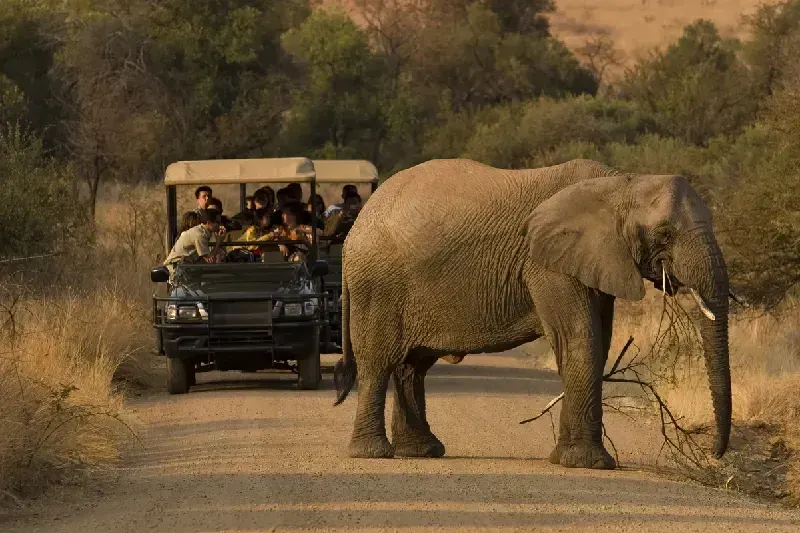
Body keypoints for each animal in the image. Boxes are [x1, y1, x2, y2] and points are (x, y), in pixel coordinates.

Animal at [332, 158, 731, 470]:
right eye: (664, 234)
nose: (714, 455)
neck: (620, 182)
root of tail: (356, 227)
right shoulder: (546, 264)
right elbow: (579, 338)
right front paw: (588, 463)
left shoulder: (592, 258)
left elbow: (598, 343)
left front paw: (567, 459)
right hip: (377, 286)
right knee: (377, 362)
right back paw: (373, 453)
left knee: (412, 366)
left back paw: (421, 451)